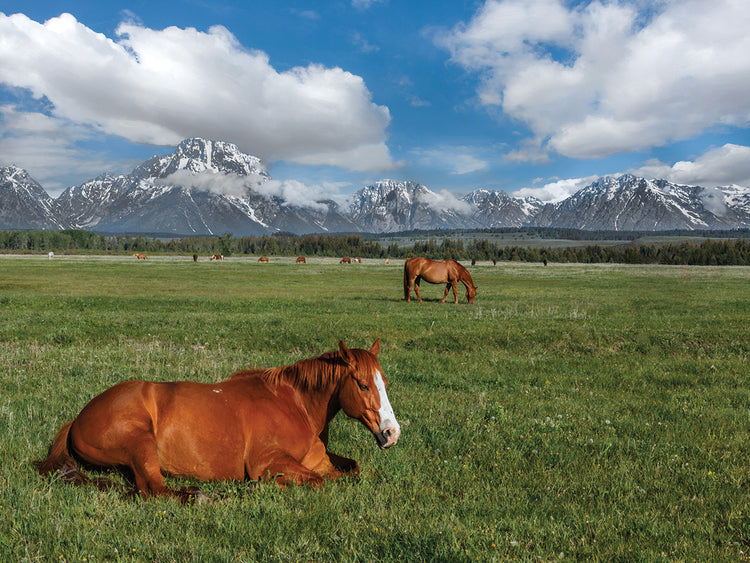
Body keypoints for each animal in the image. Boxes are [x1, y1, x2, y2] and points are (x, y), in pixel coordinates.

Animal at [34, 340, 400, 502]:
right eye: (363, 385)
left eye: (384, 381)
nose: (391, 433)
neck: (294, 405)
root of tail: (79, 417)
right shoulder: (268, 462)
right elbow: (318, 481)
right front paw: (260, 486)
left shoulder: (320, 461)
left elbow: (351, 470)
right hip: (140, 443)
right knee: (152, 489)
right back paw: (199, 495)